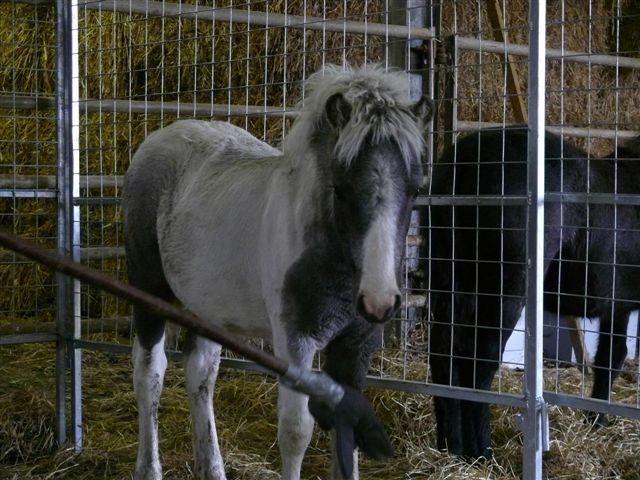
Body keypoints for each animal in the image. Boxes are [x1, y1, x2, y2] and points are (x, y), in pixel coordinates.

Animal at [424, 126, 640, 458]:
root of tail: (463, 163)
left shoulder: (617, 305)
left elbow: (610, 357)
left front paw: (596, 420)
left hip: (453, 283)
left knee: (444, 351)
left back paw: (451, 446)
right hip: (504, 292)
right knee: (481, 361)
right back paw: (482, 451)